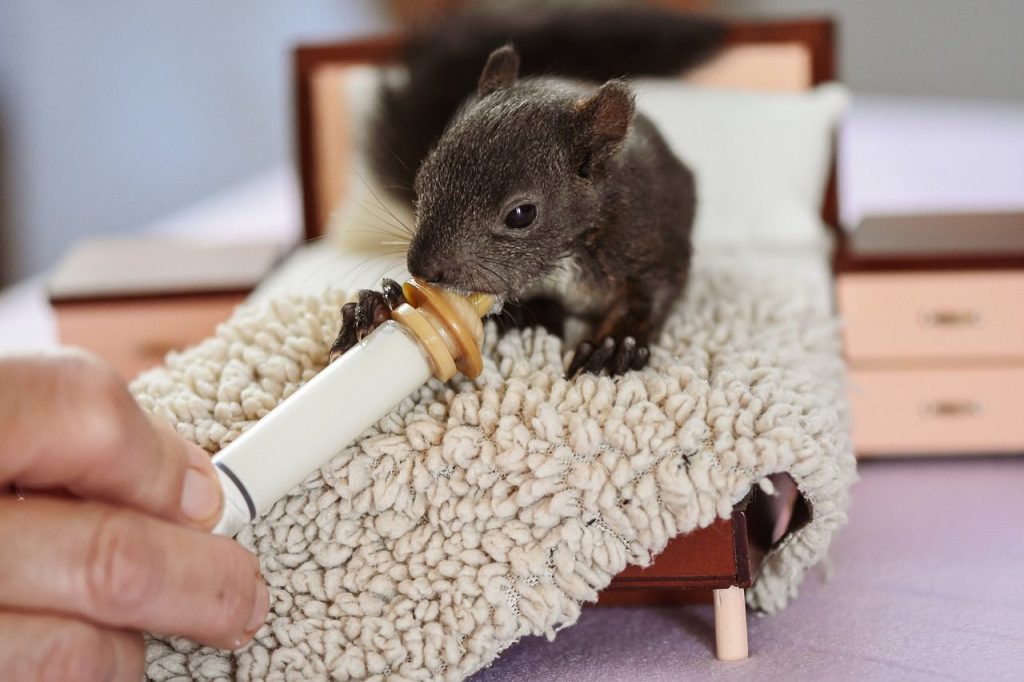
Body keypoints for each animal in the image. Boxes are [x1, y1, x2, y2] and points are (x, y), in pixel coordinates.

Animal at [330, 5, 725, 376]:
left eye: (521, 214)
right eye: (423, 179)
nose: (423, 268)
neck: (562, 260)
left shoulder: (651, 240)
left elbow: (653, 294)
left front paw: (617, 343)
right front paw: (380, 305)